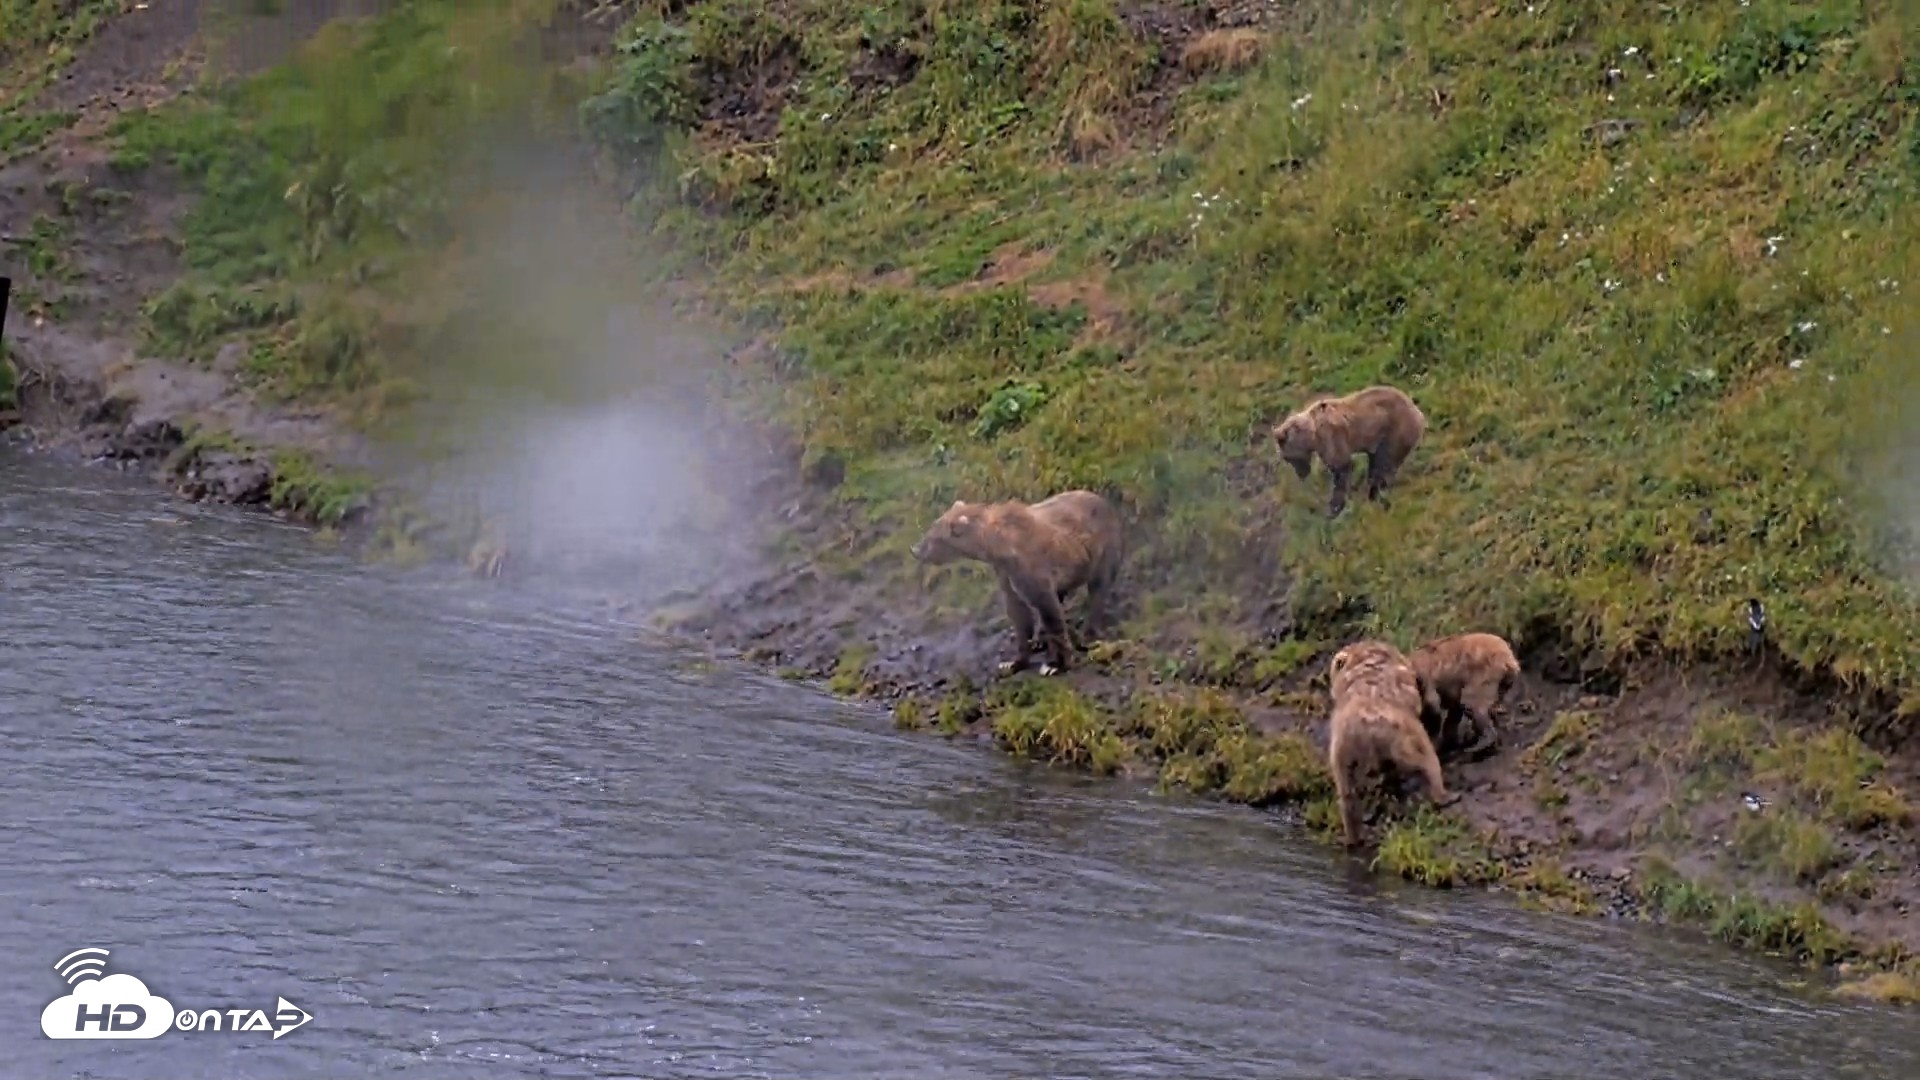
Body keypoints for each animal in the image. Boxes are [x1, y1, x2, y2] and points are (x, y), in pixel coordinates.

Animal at [910, 488, 1126, 677]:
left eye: (933, 538)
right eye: (931, 528)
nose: (915, 549)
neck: (998, 547)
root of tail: (1106, 502)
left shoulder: (1030, 567)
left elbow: (1048, 610)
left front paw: (1055, 665)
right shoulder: (1005, 573)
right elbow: (1018, 612)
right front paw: (1013, 662)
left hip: (1101, 550)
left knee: (1098, 588)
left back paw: (1089, 633)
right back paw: (1040, 639)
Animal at [1271, 384, 1427, 517]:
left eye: (1287, 458)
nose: (1301, 474)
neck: (1312, 435)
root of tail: (1418, 412)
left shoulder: (1331, 437)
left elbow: (1341, 468)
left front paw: (1334, 508)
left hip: (1396, 431)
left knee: (1384, 464)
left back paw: (1375, 494)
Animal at [1325, 639, 1457, 848]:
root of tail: (1368, 726)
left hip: (1345, 750)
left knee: (1348, 793)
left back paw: (1353, 835)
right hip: (1401, 737)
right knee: (1425, 758)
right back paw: (1443, 793)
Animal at [1407, 631, 1520, 763]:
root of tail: (1509, 657)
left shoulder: (1427, 679)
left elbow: (1433, 708)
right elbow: (1452, 713)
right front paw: (1448, 745)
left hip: (1485, 670)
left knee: (1472, 703)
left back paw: (1482, 742)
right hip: (1502, 682)